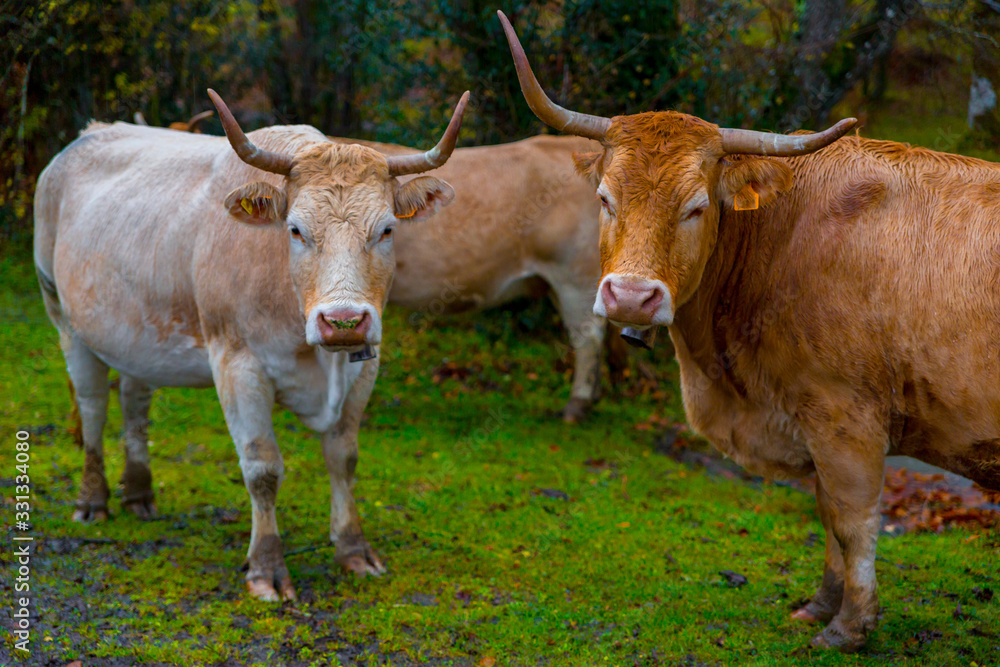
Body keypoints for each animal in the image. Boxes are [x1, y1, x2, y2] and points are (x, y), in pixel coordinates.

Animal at [34, 88, 468, 601]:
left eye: (386, 229)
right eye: (296, 230)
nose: (343, 321)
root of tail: (88, 136)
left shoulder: (365, 364)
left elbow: (344, 457)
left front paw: (353, 548)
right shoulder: (237, 364)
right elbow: (262, 468)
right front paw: (266, 567)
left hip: (136, 334)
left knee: (135, 401)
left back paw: (139, 492)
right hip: (63, 317)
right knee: (93, 406)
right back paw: (92, 499)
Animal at [498, 11, 1000, 652]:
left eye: (697, 206)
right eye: (605, 198)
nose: (632, 296)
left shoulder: (846, 417)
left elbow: (852, 519)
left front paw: (850, 626)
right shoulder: (814, 421)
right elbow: (825, 513)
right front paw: (821, 605)